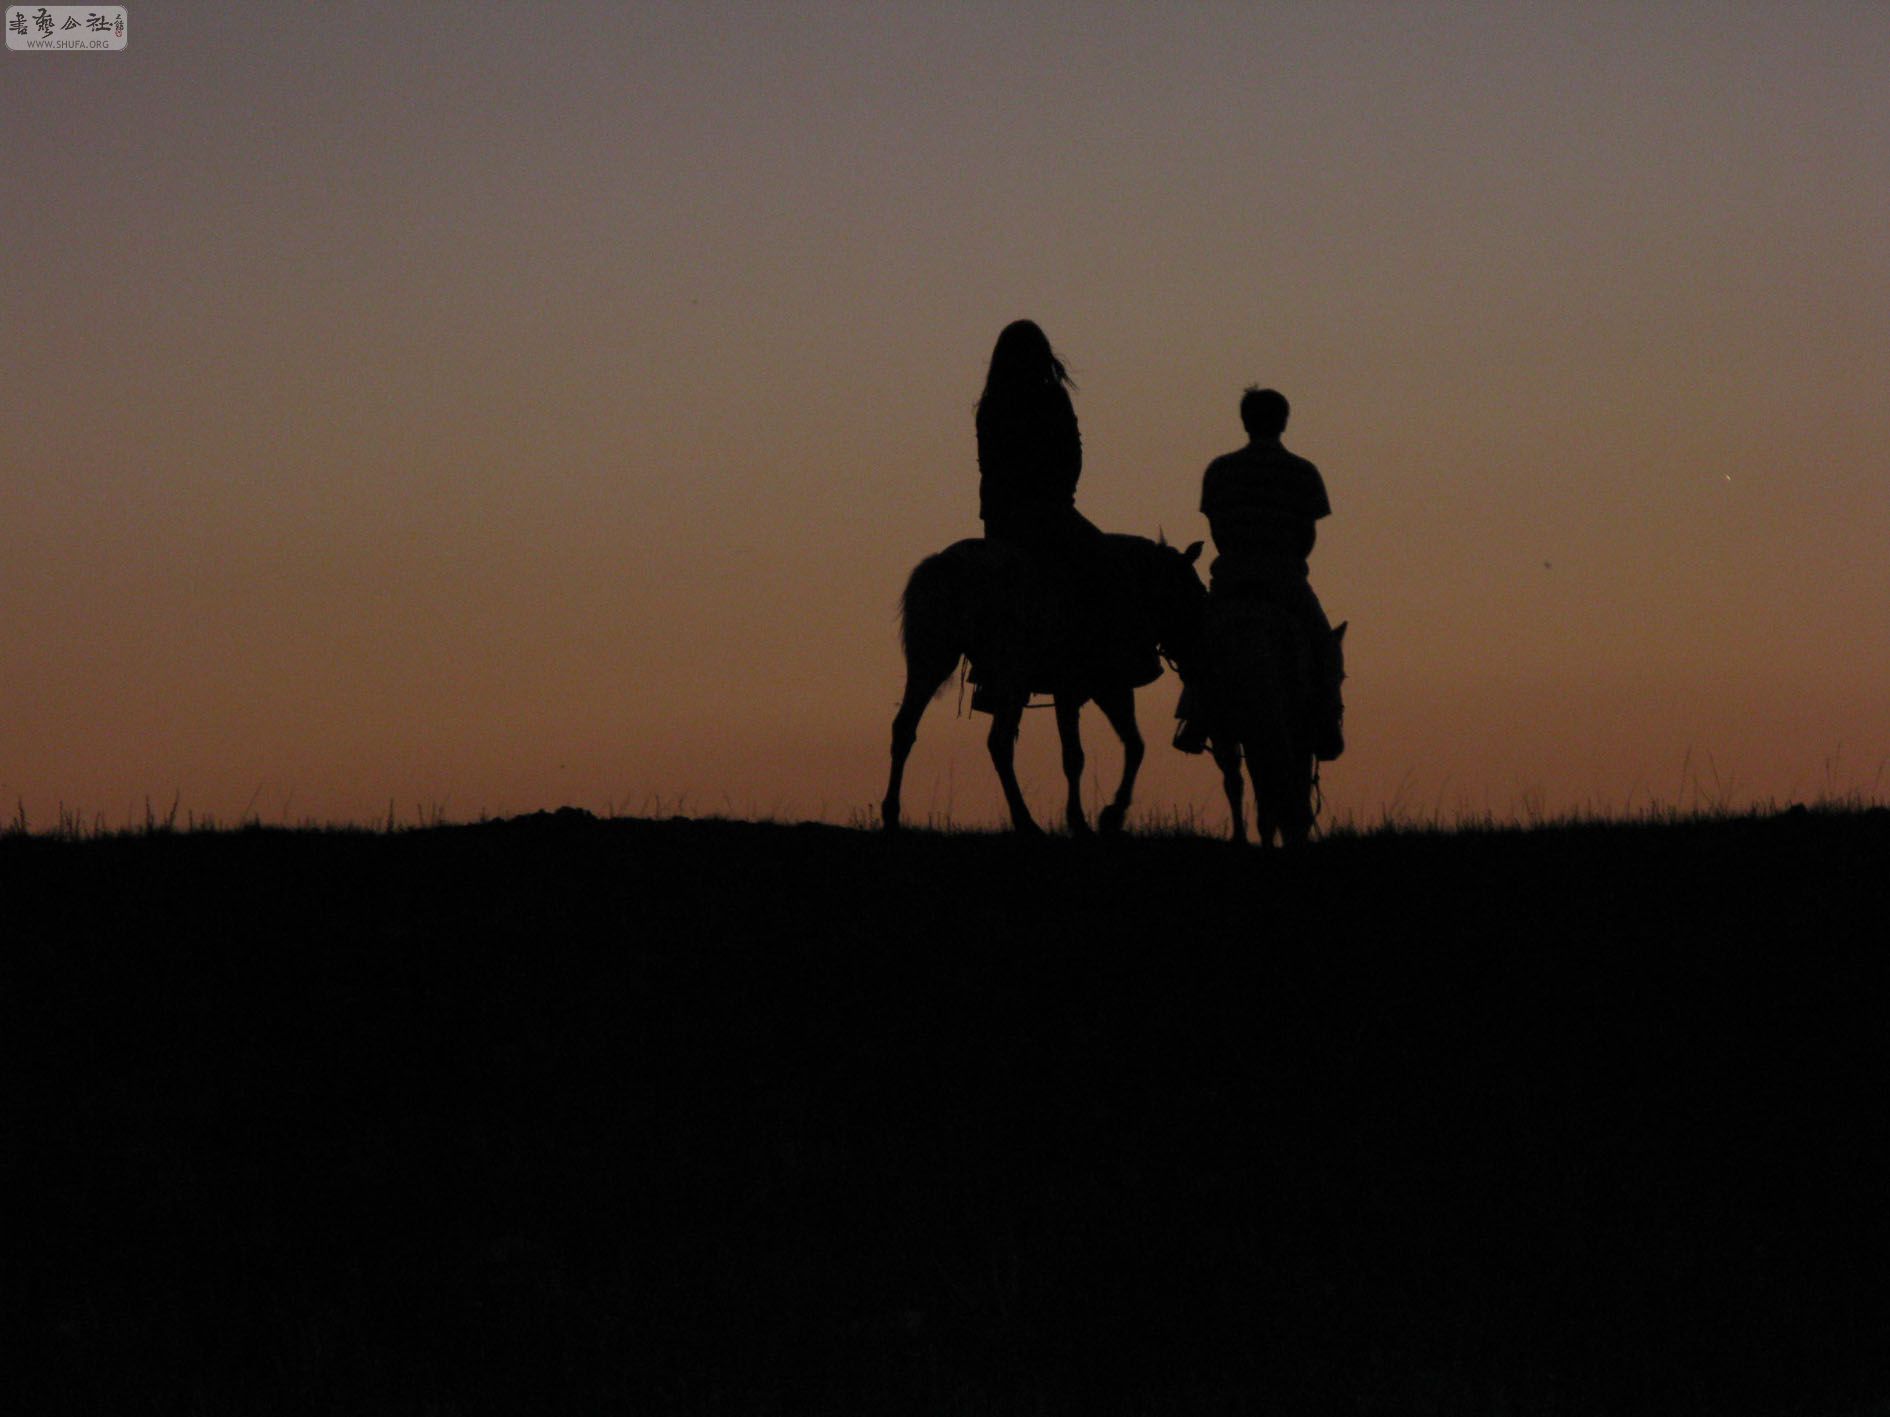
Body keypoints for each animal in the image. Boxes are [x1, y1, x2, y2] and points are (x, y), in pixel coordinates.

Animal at [882, 534, 1205, 835]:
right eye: (1192, 592)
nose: (1195, 661)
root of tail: (943, 565)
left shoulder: (1099, 690)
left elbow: (1131, 746)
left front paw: (1107, 816)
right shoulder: (1085, 689)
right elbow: (1077, 756)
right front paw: (1084, 820)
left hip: (932, 663)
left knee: (905, 729)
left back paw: (891, 815)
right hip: (1009, 677)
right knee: (999, 743)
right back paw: (1026, 822)